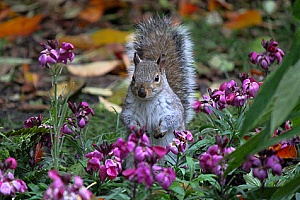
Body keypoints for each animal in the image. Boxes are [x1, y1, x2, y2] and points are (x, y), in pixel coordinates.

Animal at [120, 15, 196, 149]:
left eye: (156, 78)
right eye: (133, 77)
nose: (141, 92)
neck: (147, 100)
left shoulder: (172, 108)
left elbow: (174, 118)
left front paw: (160, 130)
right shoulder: (129, 109)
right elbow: (127, 119)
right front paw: (137, 129)